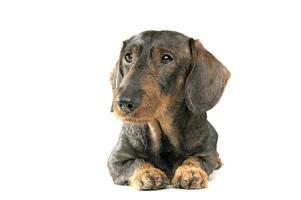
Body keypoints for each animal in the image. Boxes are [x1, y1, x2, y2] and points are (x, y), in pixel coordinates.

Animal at [108, 30, 230, 190]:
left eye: (166, 58)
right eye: (128, 57)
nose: (123, 103)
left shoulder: (206, 155)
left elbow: (194, 158)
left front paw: (190, 171)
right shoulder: (115, 160)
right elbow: (136, 162)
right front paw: (147, 172)